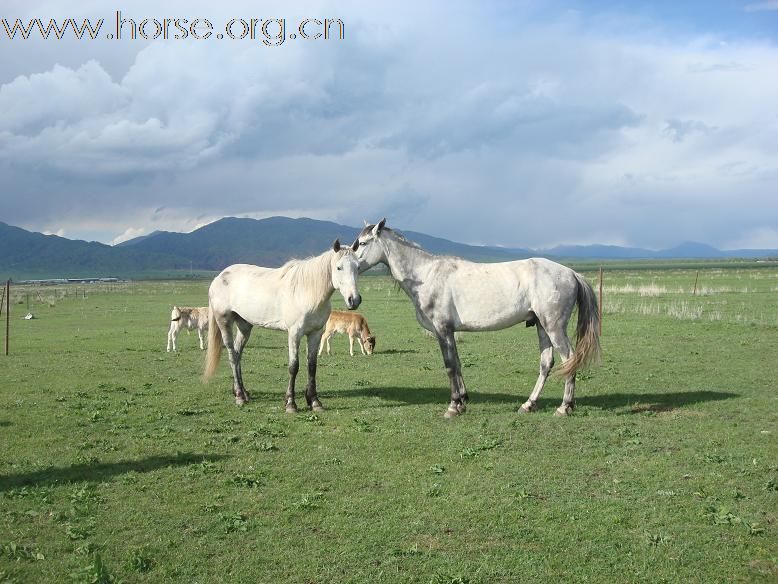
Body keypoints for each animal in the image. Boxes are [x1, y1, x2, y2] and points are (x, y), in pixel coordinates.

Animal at [352, 217, 600, 418]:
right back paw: (528, 404)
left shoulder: (442, 330)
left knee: (569, 359)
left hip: (554, 327)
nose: (348, 264)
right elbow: (458, 363)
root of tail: (572, 273)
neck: (426, 275)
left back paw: (564, 407)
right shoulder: (450, 332)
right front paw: (462, 401)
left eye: (362, 243)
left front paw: (453, 406)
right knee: (546, 363)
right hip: (542, 326)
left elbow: (450, 365)